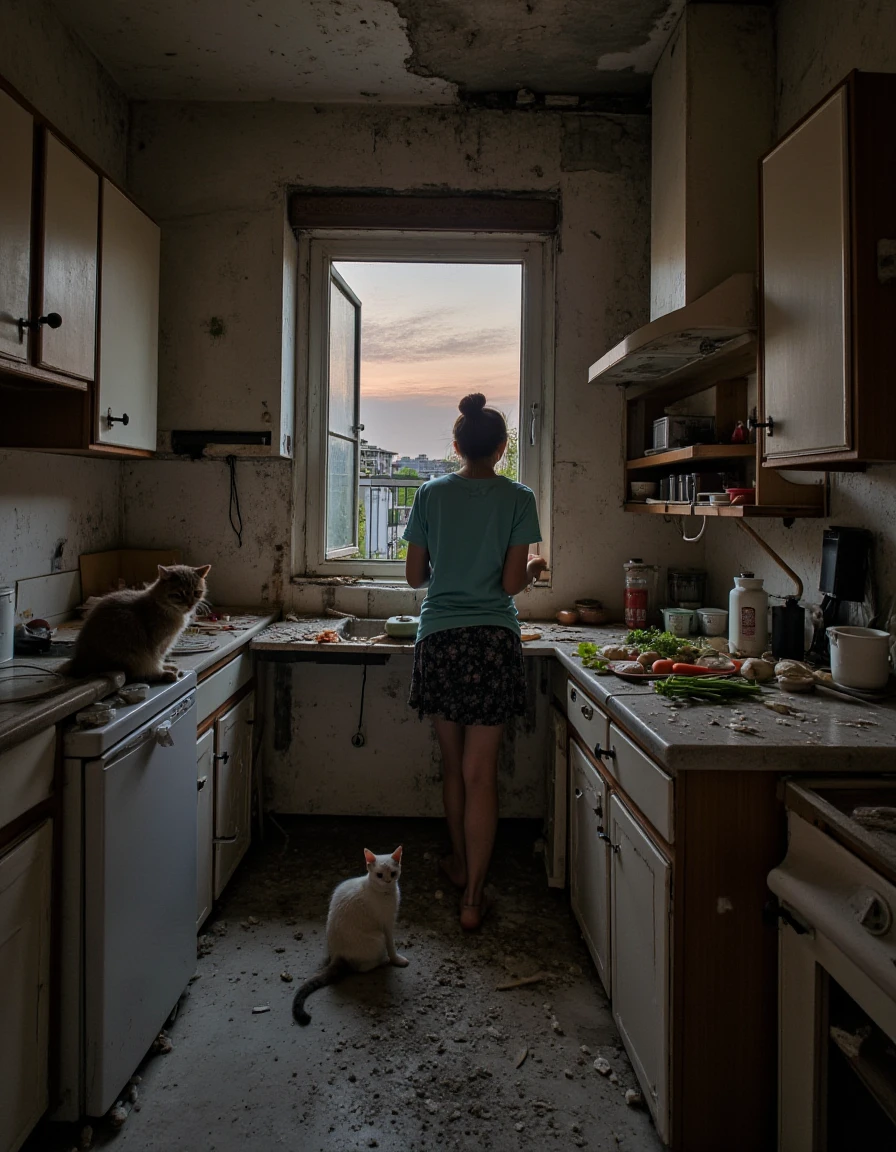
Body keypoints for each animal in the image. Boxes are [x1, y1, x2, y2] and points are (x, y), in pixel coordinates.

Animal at [66, 562, 209, 677]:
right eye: (179, 594)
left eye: (196, 592)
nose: (190, 604)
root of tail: (78, 663)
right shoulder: (155, 644)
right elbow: (155, 660)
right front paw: (161, 671)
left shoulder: (166, 643)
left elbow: (161, 658)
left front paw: (165, 667)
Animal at [290, 847, 407, 1027]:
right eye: (380, 875)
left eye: (393, 874)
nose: (388, 881)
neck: (385, 893)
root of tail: (337, 954)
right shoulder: (387, 926)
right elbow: (392, 947)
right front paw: (396, 959)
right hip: (378, 937)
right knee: (362, 968)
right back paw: (383, 960)